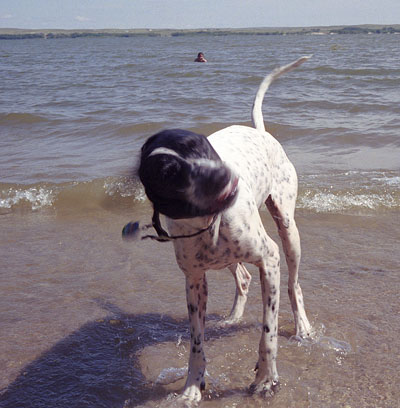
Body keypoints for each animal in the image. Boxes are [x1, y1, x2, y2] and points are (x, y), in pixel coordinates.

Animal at [138, 55, 312, 404]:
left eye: (201, 147)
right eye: (168, 172)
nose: (224, 176)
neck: (206, 223)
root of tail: (260, 131)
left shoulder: (269, 260)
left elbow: (269, 333)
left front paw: (266, 378)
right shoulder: (194, 281)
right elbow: (196, 344)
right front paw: (192, 386)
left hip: (288, 231)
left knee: (294, 285)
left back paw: (302, 327)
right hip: (229, 256)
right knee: (242, 277)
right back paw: (233, 317)